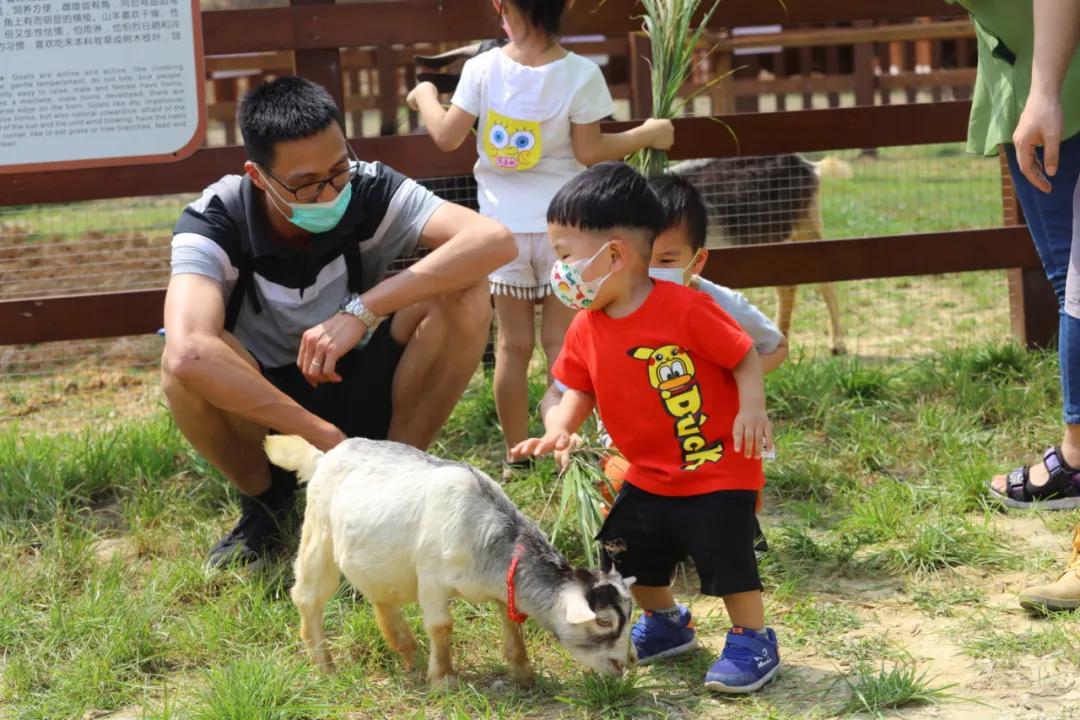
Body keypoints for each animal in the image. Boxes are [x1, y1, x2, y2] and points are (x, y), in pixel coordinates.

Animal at [263, 433, 630, 686]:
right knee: (308, 596)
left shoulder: (503, 589)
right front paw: (444, 679)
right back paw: (325, 666)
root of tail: (323, 456)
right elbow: (441, 626)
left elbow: (512, 622)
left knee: (382, 599)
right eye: (603, 622)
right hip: (318, 535)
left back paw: (410, 657)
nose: (626, 662)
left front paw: (524, 674)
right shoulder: (432, 579)